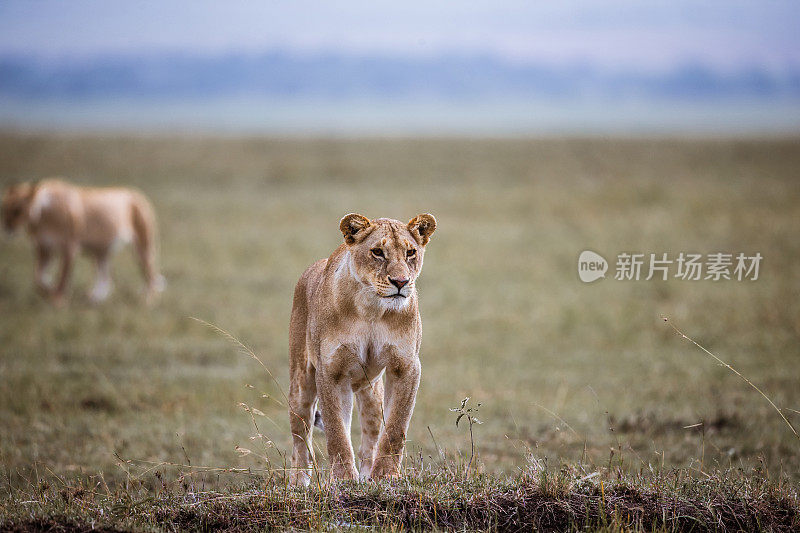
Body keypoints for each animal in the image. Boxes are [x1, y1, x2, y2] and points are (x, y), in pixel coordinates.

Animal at [1, 178, 164, 306]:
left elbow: (62, 277)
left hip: (143, 247)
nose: (7, 227)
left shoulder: (69, 247)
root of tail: (136, 193)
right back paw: (95, 298)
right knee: (106, 278)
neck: (42, 217)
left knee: (150, 276)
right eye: (4, 209)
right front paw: (49, 290)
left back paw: (148, 300)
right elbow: (38, 279)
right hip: (100, 251)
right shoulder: (43, 249)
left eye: (17, 210)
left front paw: (57, 300)